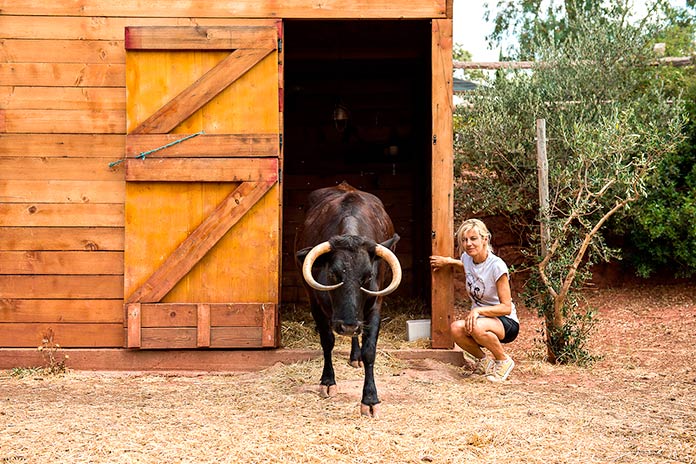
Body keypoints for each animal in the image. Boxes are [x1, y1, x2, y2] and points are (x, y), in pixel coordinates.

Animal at [294, 180, 402, 416]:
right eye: (334, 274)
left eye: (368, 276)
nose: (348, 326)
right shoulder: (315, 303)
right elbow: (327, 341)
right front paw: (327, 381)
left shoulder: (374, 306)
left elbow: (370, 350)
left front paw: (370, 399)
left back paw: (355, 355)